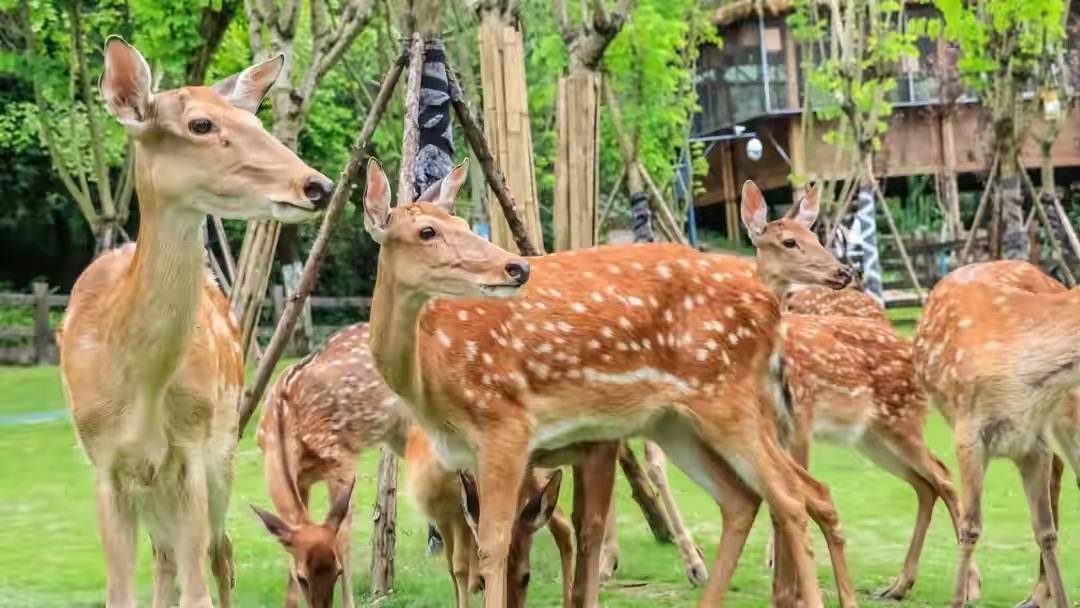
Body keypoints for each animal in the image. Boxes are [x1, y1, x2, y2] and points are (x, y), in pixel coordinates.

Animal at [58, 36, 328, 608]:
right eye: (200, 124)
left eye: (255, 120)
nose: (316, 184)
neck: (139, 388)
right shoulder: (103, 462)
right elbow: (120, 592)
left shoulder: (190, 452)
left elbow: (198, 587)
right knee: (166, 558)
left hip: (223, 446)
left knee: (218, 554)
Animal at [252, 323, 578, 608]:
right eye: (302, 578)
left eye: (338, 572)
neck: (285, 421)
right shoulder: (304, 480)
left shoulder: (340, 458)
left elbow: (343, 538)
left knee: (559, 518)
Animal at [362, 158, 859, 608]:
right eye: (427, 231)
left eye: (463, 222)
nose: (515, 268)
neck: (431, 380)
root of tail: (771, 305)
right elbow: (482, 555)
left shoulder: (508, 427)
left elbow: (501, 544)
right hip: (678, 423)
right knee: (748, 498)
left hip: (725, 398)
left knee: (789, 496)